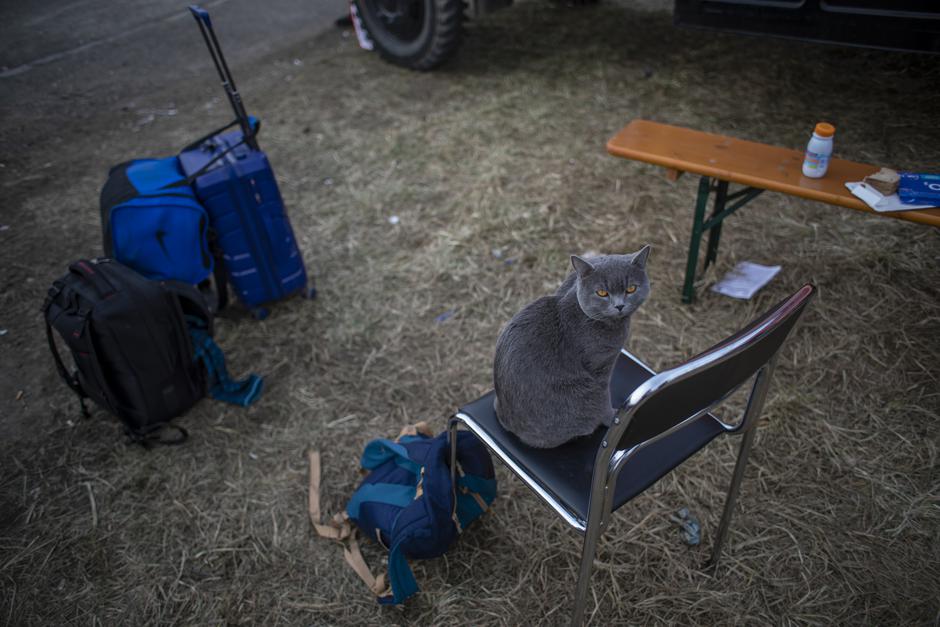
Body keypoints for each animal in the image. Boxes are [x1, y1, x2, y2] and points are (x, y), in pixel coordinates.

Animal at [492, 248, 652, 448]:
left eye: (631, 289)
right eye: (602, 292)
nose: (620, 305)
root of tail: (508, 425)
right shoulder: (599, 368)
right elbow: (604, 398)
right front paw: (612, 418)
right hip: (585, 391)